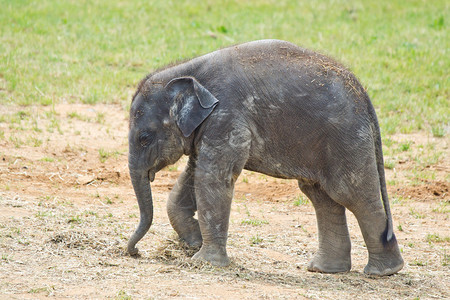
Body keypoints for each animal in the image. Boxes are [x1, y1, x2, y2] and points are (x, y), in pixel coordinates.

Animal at [126, 39, 404, 276]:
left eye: (144, 138)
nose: (134, 252)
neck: (187, 71)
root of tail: (363, 94)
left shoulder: (228, 118)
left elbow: (212, 178)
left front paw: (204, 261)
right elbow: (193, 175)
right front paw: (194, 242)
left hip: (347, 138)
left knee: (351, 194)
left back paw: (383, 271)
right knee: (321, 196)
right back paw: (325, 269)